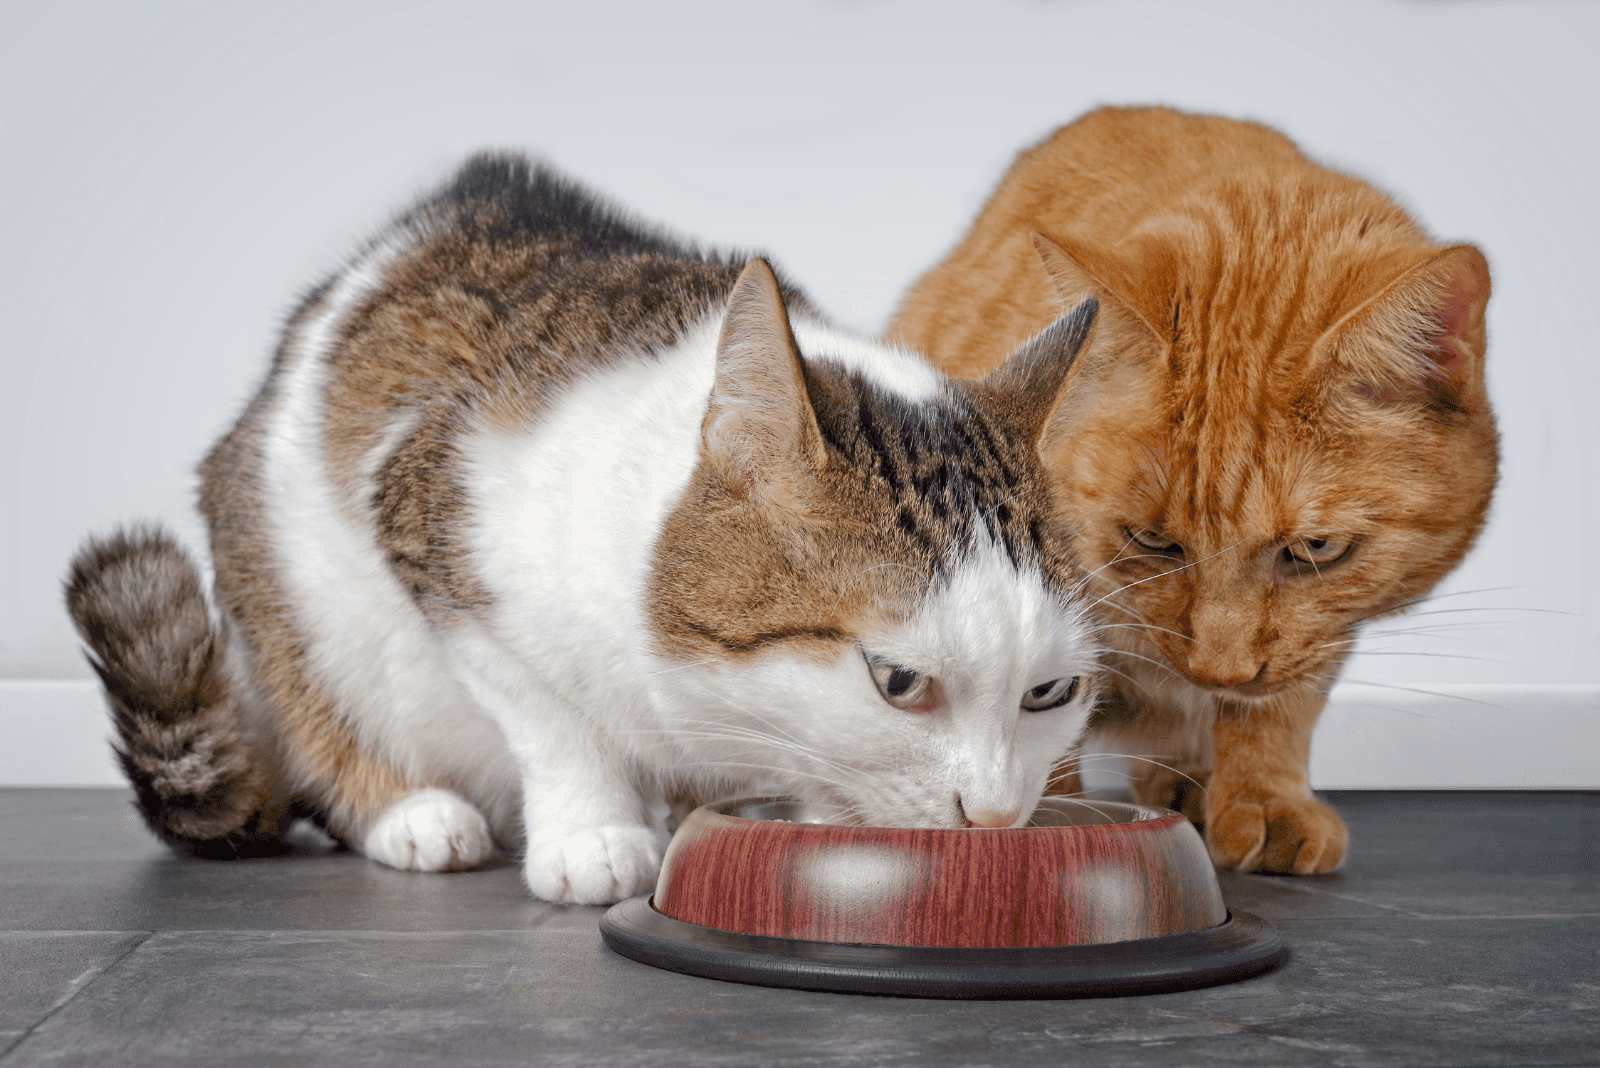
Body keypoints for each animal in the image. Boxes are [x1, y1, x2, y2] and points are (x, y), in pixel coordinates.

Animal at [68, 151, 1107, 901]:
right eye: (898, 682)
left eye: (1049, 692)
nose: (997, 818)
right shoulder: (434, 528)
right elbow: (550, 712)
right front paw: (594, 831)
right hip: (288, 590)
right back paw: (412, 813)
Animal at [889, 106, 1497, 876]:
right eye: (1150, 540)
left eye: (1317, 548)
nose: (1220, 671)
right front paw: (1043, 817)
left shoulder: (1321, 637)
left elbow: (1280, 706)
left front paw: (1265, 797)